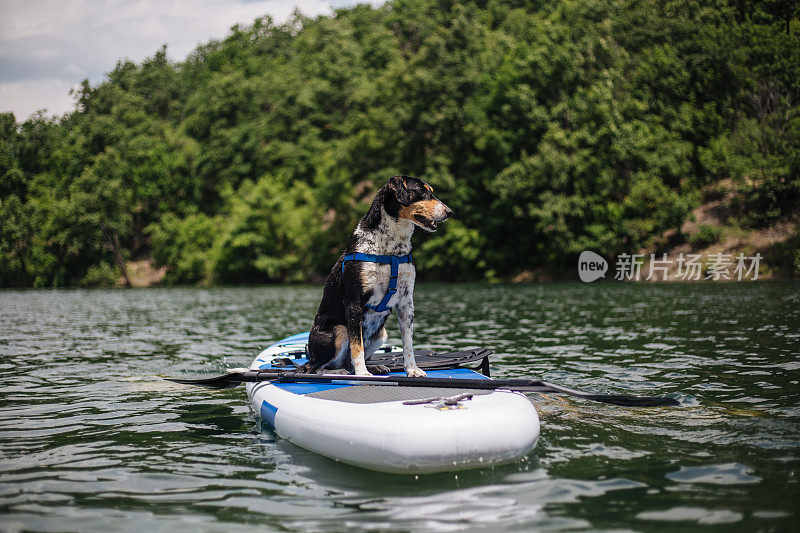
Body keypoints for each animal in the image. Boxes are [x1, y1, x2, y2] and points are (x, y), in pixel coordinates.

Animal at [304, 174, 450, 374]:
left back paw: (375, 367)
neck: (390, 250)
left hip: (381, 334)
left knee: (344, 362)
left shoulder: (406, 302)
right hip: (339, 331)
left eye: (432, 192)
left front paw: (412, 369)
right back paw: (341, 372)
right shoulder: (354, 302)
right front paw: (362, 374)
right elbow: (356, 346)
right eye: (422, 192)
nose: (449, 212)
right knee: (314, 368)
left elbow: (408, 343)